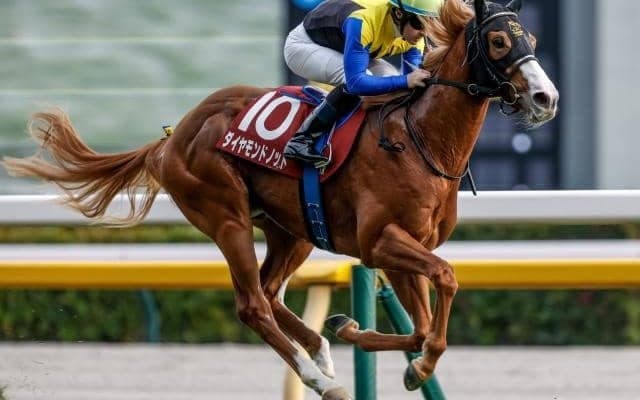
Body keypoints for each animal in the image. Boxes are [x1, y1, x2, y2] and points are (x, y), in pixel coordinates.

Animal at [2, 0, 558, 398]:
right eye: (499, 40)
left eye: (531, 39)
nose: (545, 98)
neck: (419, 138)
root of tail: (173, 137)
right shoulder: (381, 241)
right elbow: (445, 279)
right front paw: (410, 364)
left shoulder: (404, 246)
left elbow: (422, 327)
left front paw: (362, 335)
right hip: (225, 215)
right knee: (252, 304)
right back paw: (320, 380)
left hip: (293, 231)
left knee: (271, 293)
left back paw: (321, 351)